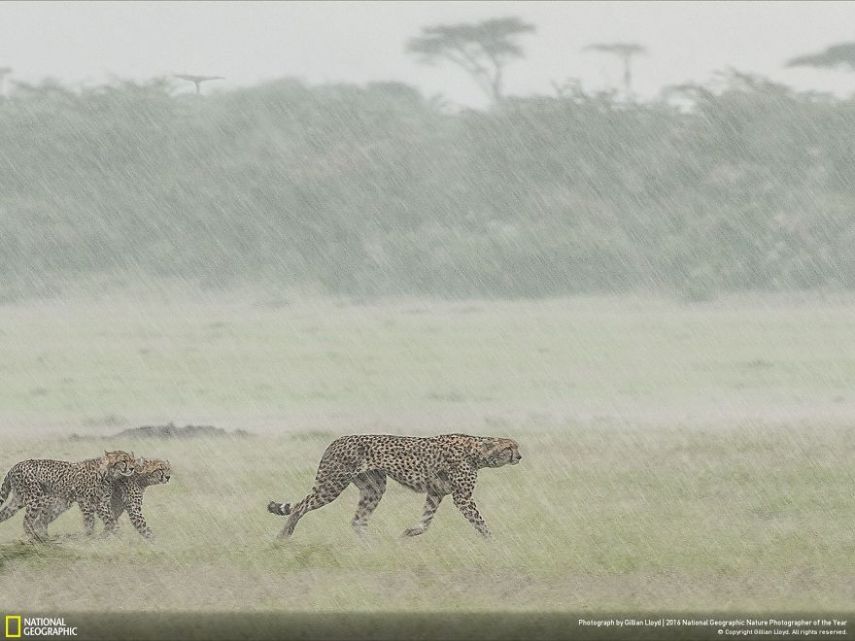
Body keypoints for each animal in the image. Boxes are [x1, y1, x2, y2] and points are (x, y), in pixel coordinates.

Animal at [0, 450, 135, 540]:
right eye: (123, 461)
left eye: (132, 460)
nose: (132, 468)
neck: (108, 473)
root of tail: (14, 466)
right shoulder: (85, 501)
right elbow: (90, 521)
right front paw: (90, 536)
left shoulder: (102, 502)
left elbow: (110, 518)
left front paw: (112, 533)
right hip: (35, 498)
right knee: (27, 521)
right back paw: (37, 539)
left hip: (19, 500)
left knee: (4, 514)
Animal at [268, 432, 520, 536]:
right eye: (510, 447)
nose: (519, 456)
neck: (477, 451)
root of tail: (336, 440)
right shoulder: (462, 498)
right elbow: (479, 522)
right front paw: (492, 540)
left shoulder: (435, 493)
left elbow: (427, 519)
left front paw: (412, 532)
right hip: (332, 484)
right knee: (301, 506)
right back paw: (284, 534)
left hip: (374, 488)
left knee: (358, 520)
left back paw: (370, 546)